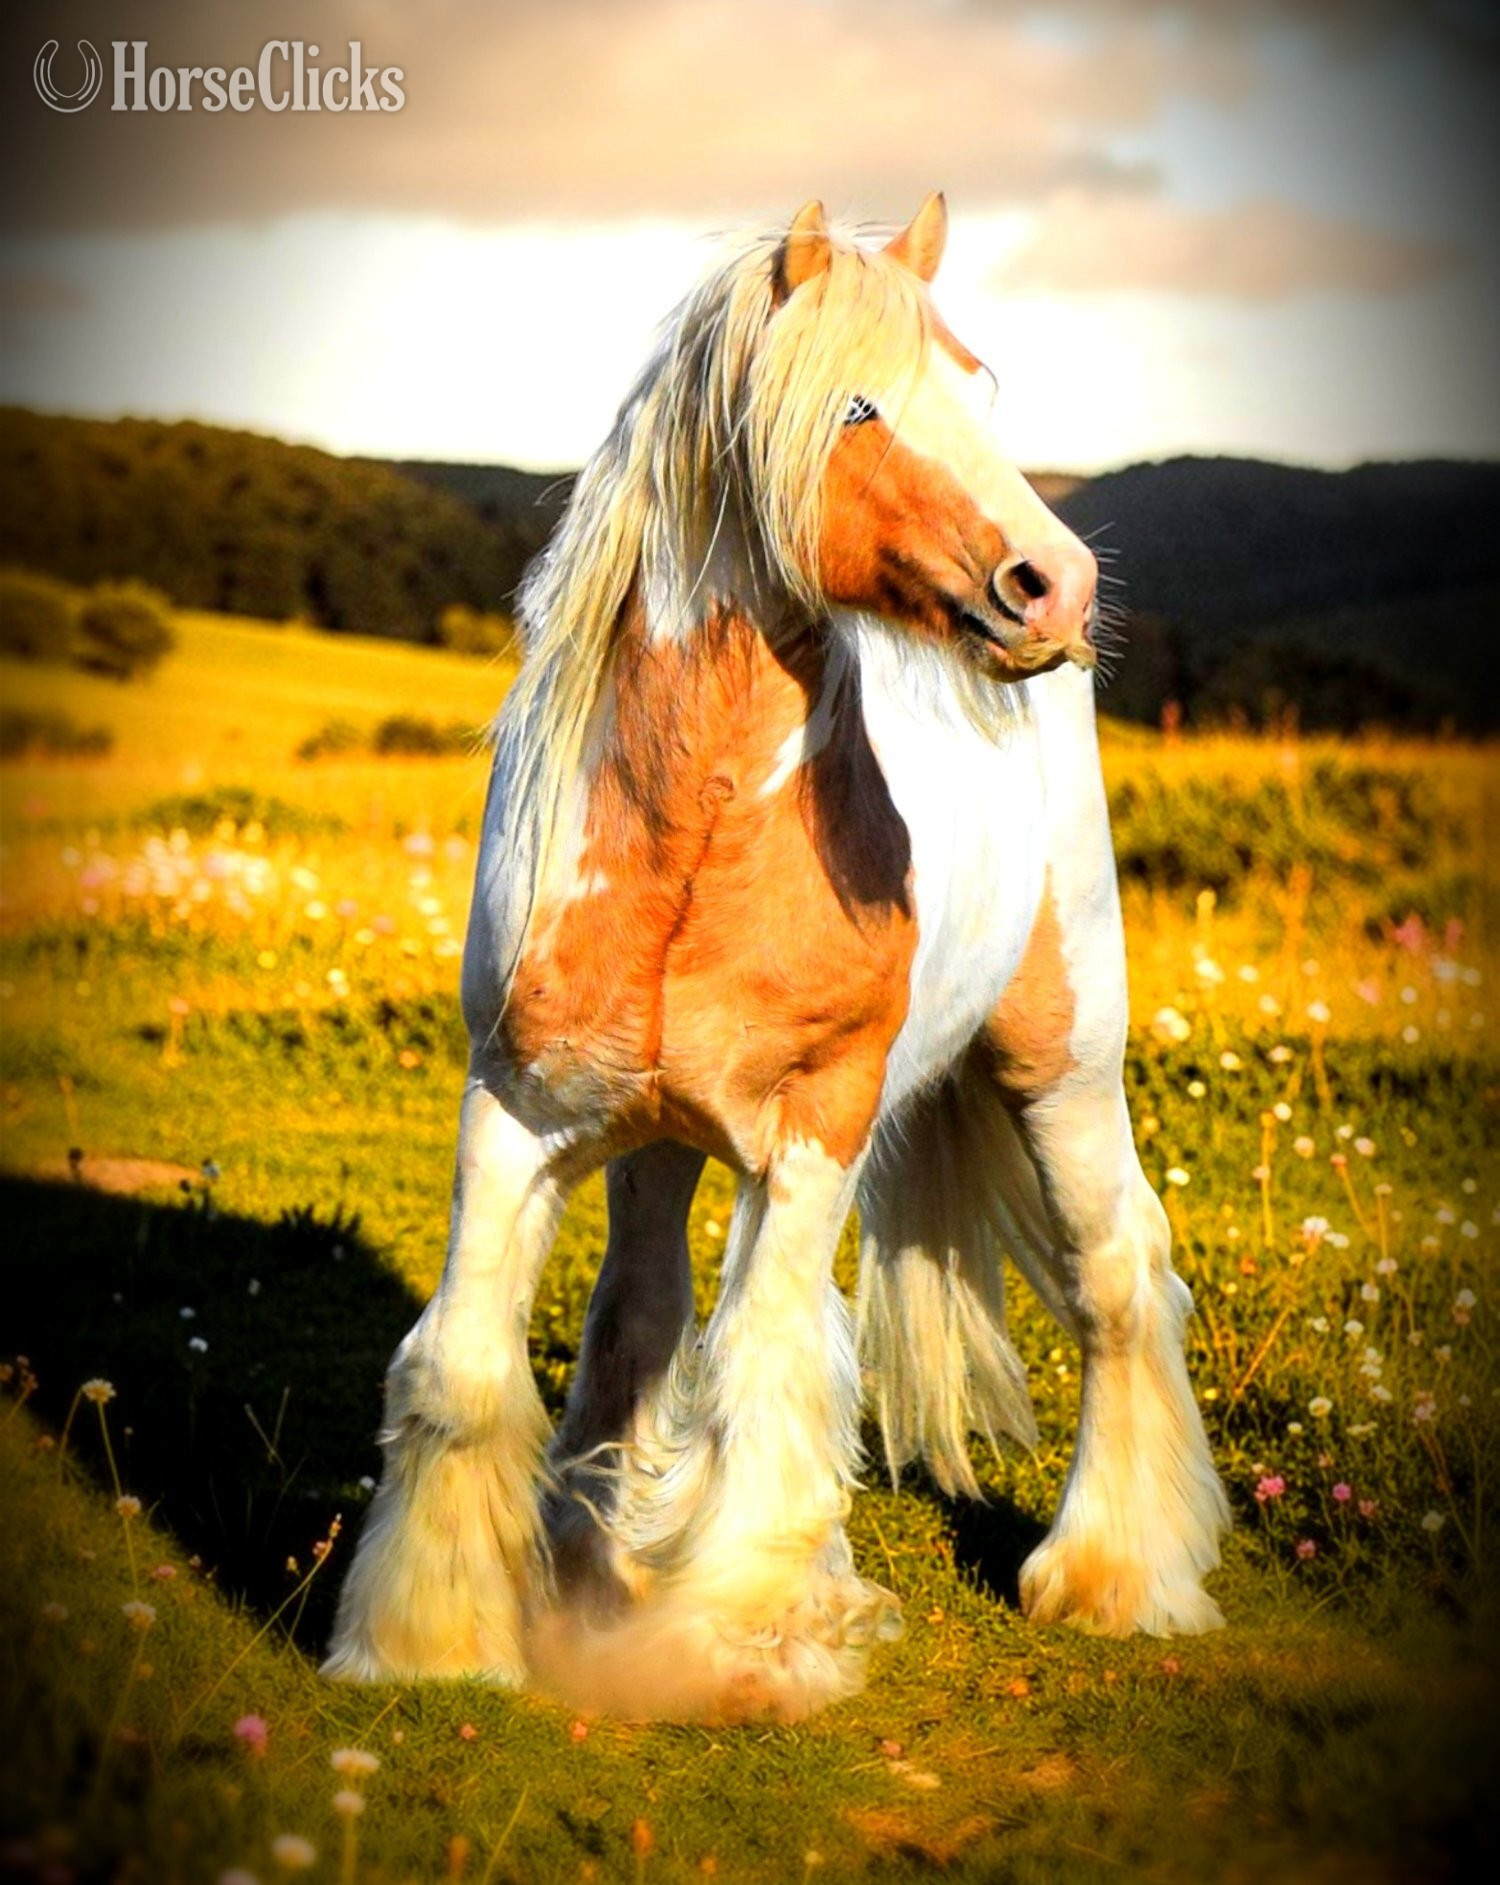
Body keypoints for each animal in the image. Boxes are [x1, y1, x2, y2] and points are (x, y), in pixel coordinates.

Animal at [323, 193, 1230, 1722]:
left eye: (976, 383)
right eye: (858, 405)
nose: (1058, 585)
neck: (697, 837)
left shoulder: (813, 1133)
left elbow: (763, 1376)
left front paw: (729, 1643)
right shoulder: (515, 1110)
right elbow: (463, 1364)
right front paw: (428, 1646)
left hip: (1062, 1066)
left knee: (1118, 1271)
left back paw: (1111, 1576)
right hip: (651, 1144)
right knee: (635, 1320)